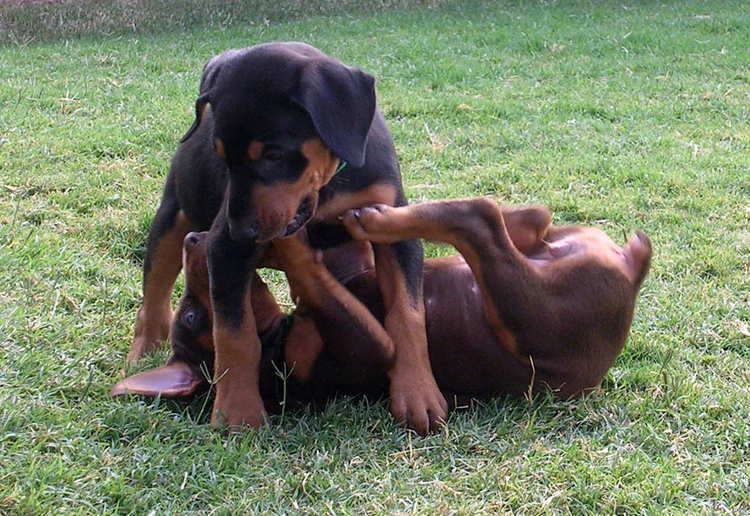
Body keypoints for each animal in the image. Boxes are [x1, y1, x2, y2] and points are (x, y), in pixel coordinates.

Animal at [129, 42, 446, 434]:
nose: (243, 232)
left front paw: (417, 392)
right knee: (155, 288)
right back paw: (143, 348)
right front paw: (237, 412)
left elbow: (407, 311)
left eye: (274, 154)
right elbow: (234, 334)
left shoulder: (393, 227)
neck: (328, 186)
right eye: (222, 156)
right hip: (173, 215)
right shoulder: (223, 250)